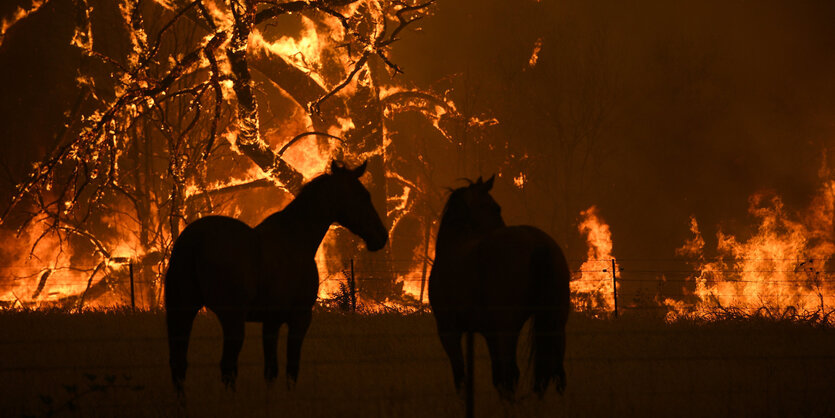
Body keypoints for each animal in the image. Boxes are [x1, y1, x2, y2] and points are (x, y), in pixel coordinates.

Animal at [165, 158, 386, 394]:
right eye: (362, 196)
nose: (381, 236)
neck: (296, 238)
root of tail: (194, 241)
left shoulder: (271, 321)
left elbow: (271, 371)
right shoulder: (300, 317)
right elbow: (291, 369)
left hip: (183, 311)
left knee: (179, 365)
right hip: (232, 319)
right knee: (227, 368)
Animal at [428, 175, 572, 400]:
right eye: (495, 208)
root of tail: (537, 241)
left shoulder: (449, 331)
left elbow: (462, 375)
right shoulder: (490, 333)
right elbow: (496, 375)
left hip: (508, 327)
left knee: (512, 372)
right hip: (555, 323)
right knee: (555, 371)